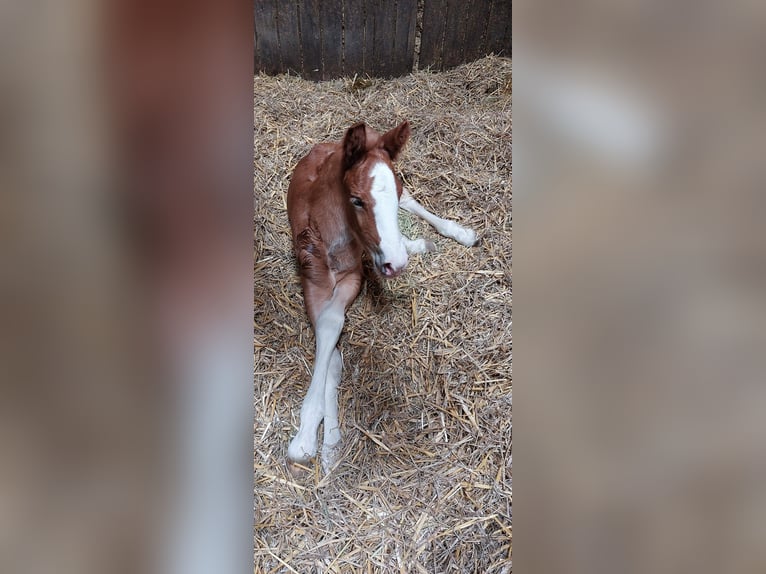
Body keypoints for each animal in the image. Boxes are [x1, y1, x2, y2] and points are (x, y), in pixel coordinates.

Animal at [288, 120, 480, 472]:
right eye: (356, 200)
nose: (396, 264)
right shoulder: (313, 285)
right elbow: (331, 347)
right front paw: (320, 440)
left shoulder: (353, 278)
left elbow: (332, 326)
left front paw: (316, 439)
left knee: (412, 202)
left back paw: (454, 234)